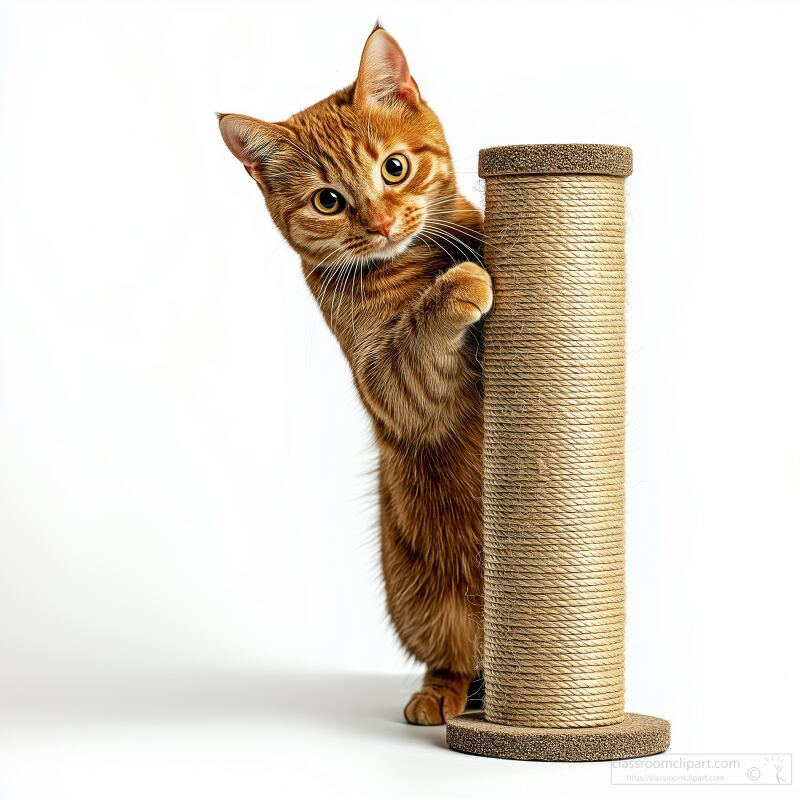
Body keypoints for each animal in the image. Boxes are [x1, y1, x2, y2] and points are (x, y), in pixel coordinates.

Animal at [222, 25, 490, 724]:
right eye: (328, 201)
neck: (413, 262)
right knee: (455, 659)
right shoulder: (400, 392)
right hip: (423, 606)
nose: (381, 223)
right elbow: (420, 342)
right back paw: (440, 695)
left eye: (393, 167)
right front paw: (460, 287)